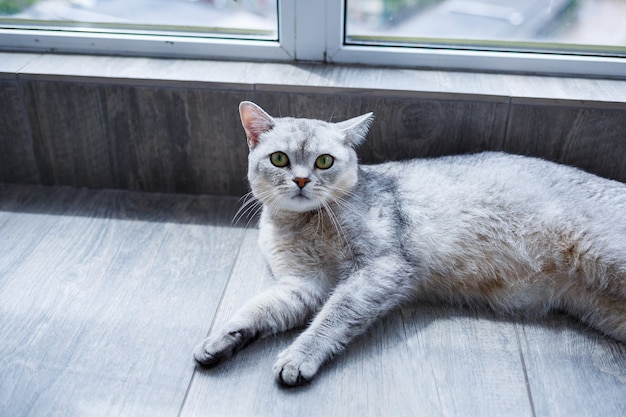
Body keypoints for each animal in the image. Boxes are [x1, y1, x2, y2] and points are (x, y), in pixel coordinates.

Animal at [193, 101, 620, 386]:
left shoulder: (382, 267)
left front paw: (299, 356)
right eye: (279, 159)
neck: (303, 224)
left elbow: (333, 316)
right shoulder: (302, 285)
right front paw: (220, 340)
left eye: (324, 162)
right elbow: (257, 310)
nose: (300, 180)